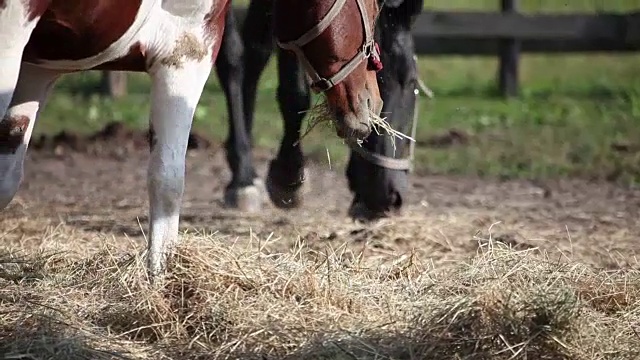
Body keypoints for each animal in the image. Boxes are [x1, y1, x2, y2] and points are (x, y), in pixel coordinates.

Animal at [0, 0, 380, 280]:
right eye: (374, 5)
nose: (372, 102)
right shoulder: (187, 48)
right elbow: (167, 180)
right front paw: (162, 289)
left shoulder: (39, 68)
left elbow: (7, 178)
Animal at [214, 0, 424, 219]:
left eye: (410, 82)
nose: (385, 197)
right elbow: (233, 57)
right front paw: (278, 177)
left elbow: (262, 49)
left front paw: (286, 173)